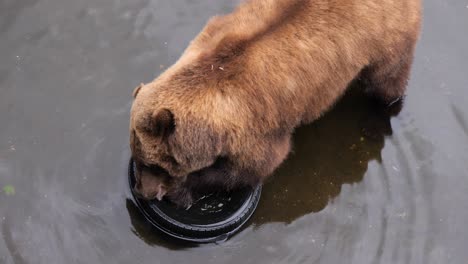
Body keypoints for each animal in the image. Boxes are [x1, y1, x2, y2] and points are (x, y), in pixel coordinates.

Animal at [128, 0, 420, 207]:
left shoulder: (255, 127)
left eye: (155, 164)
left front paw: (183, 189)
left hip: (385, 37)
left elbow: (253, 168)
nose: (142, 191)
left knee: (387, 81)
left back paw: (375, 120)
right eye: (139, 158)